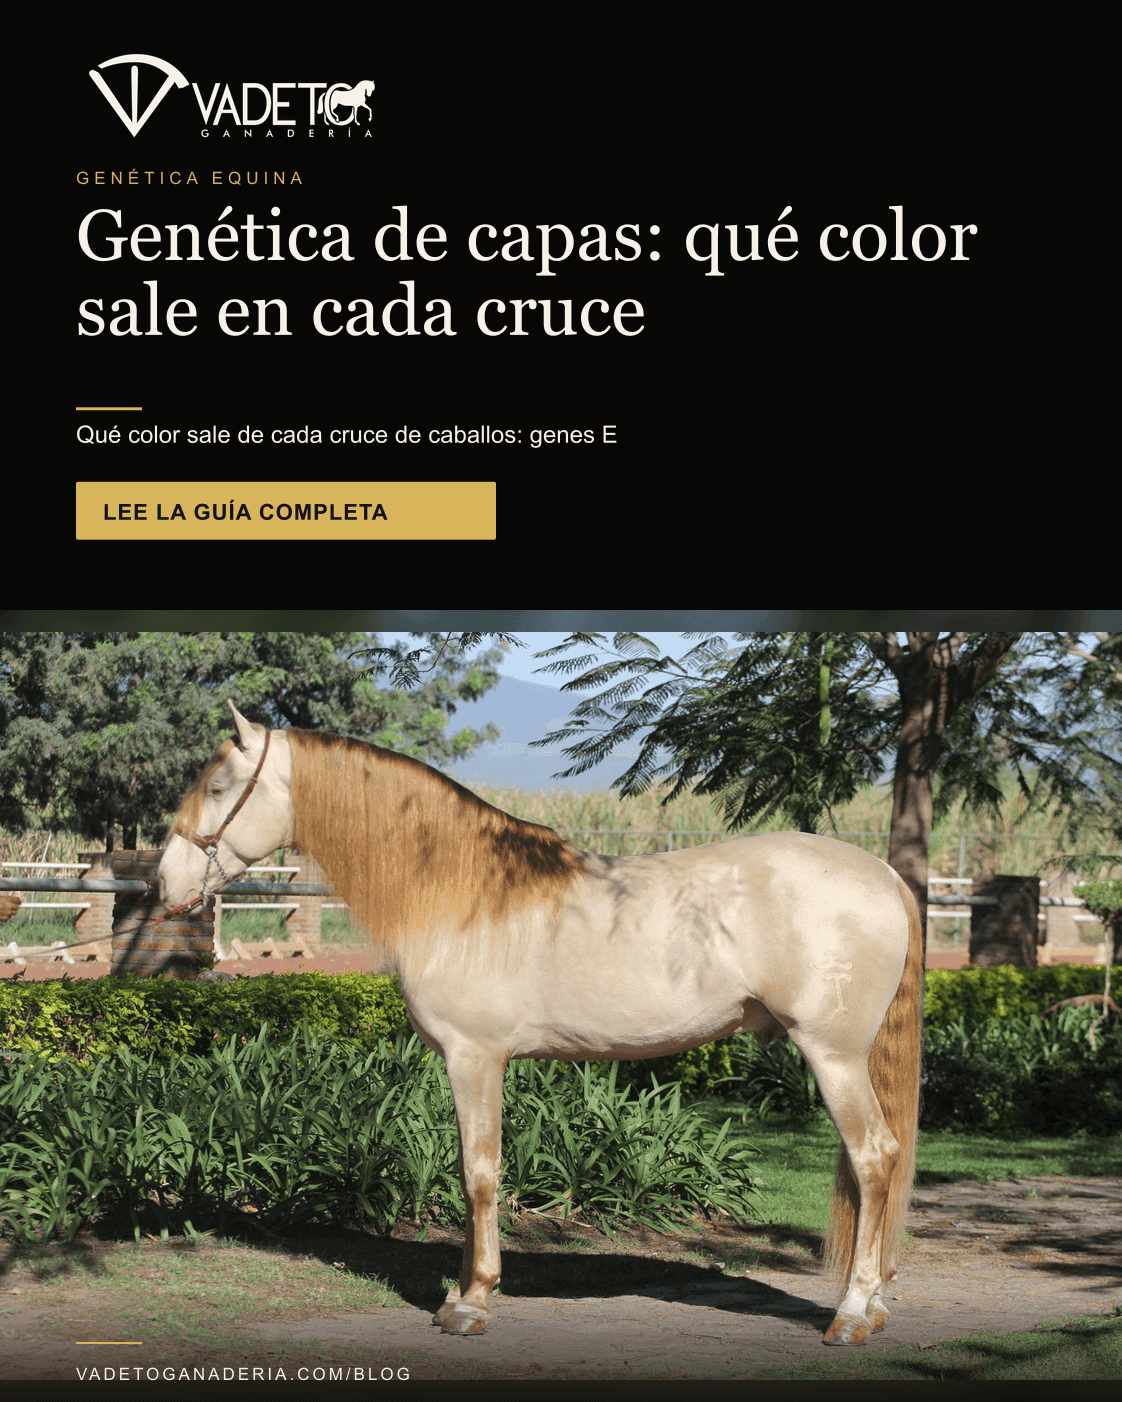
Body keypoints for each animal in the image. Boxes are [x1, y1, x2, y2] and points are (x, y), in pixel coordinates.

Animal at [158, 701, 922, 1346]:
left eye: (220, 786)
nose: (166, 886)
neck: (461, 891)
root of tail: (884, 875)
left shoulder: (475, 1057)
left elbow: (479, 1173)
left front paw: (472, 1301)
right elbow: (468, 1171)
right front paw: (458, 1291)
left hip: (833, 1055)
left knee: (874, 1157)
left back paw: (852, 1314)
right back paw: (876, 1304)